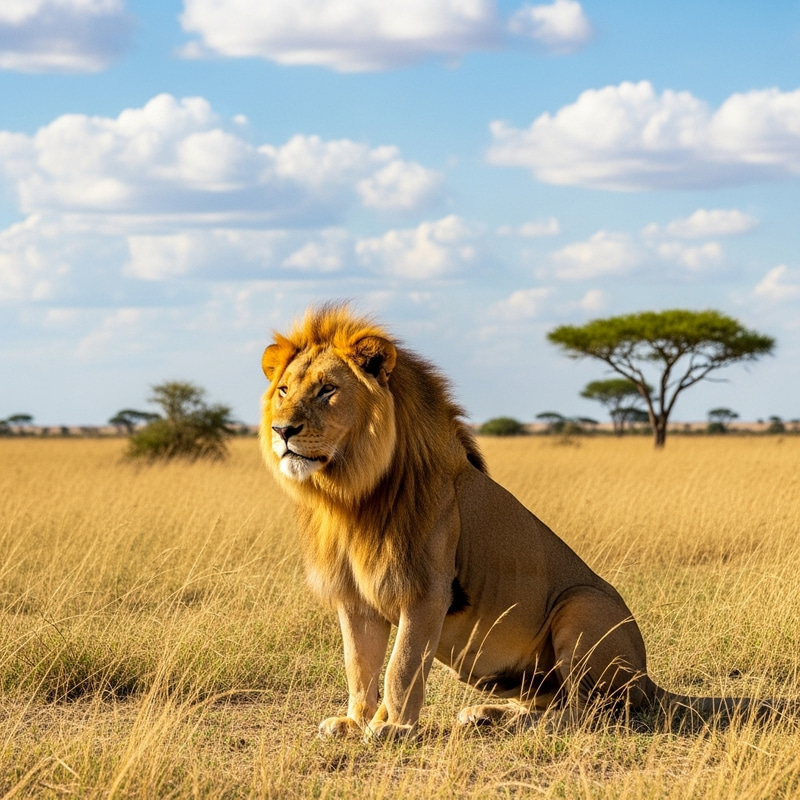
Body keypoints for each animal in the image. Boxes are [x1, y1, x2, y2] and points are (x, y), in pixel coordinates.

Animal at [260, 303, 780, 741]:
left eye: (327, 391)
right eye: (283, 390)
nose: (282, 430)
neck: (350, 496)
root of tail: (648, 677)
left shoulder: (426, 590)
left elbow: (401, 667)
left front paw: (394, 729)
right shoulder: (354, 598)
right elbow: (359, 666)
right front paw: (354, 722)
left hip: (582, 606)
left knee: (591, 711)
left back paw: (529, 725)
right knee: (551, 700)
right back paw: (485, 715)